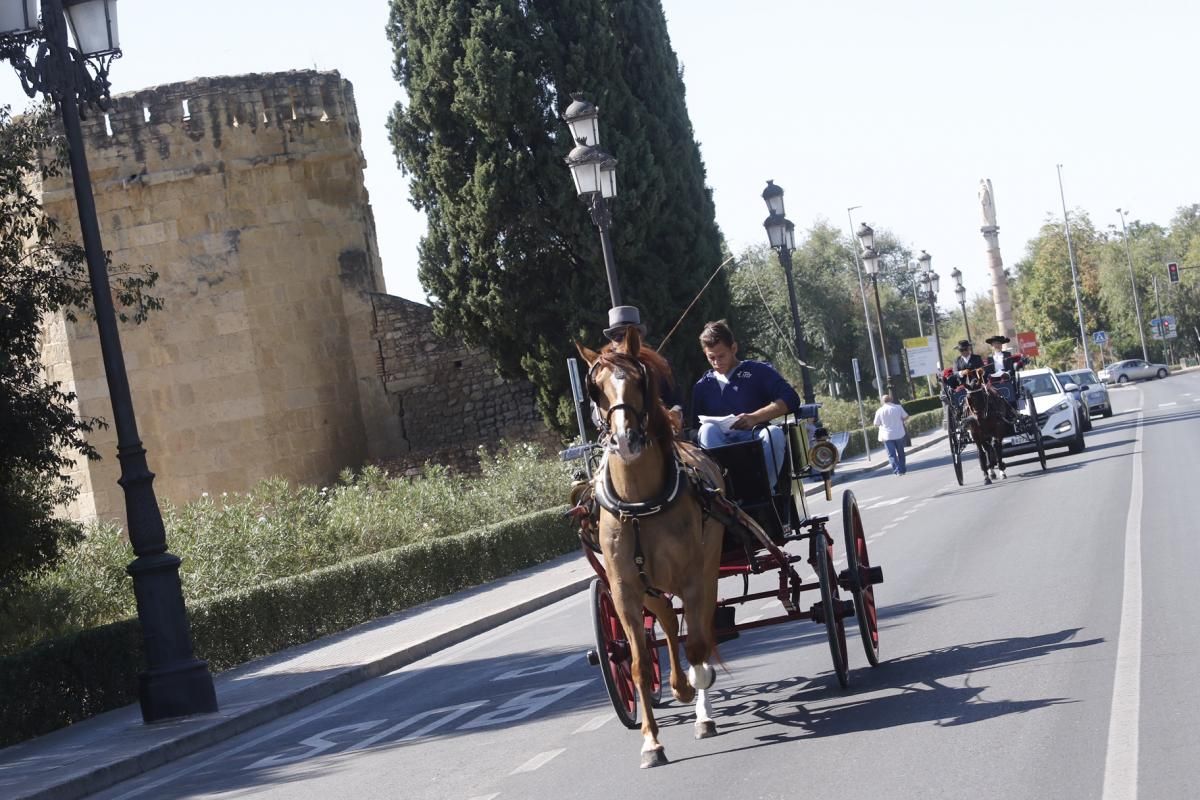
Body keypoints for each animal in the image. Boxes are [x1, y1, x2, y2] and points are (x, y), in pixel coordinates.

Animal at [578, 326, 724, 767]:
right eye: (595, 389)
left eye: (639, 381)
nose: (625, 440)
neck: (640, 504)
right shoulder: (624, 589)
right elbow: (640, 662)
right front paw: (651, 741)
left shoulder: (693, 577)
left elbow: (697, 644)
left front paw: (702, 706)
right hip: (652, 588)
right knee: (667, 625)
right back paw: (678, 685)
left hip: (707, 570)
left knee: (702, 628)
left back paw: (698, 689)